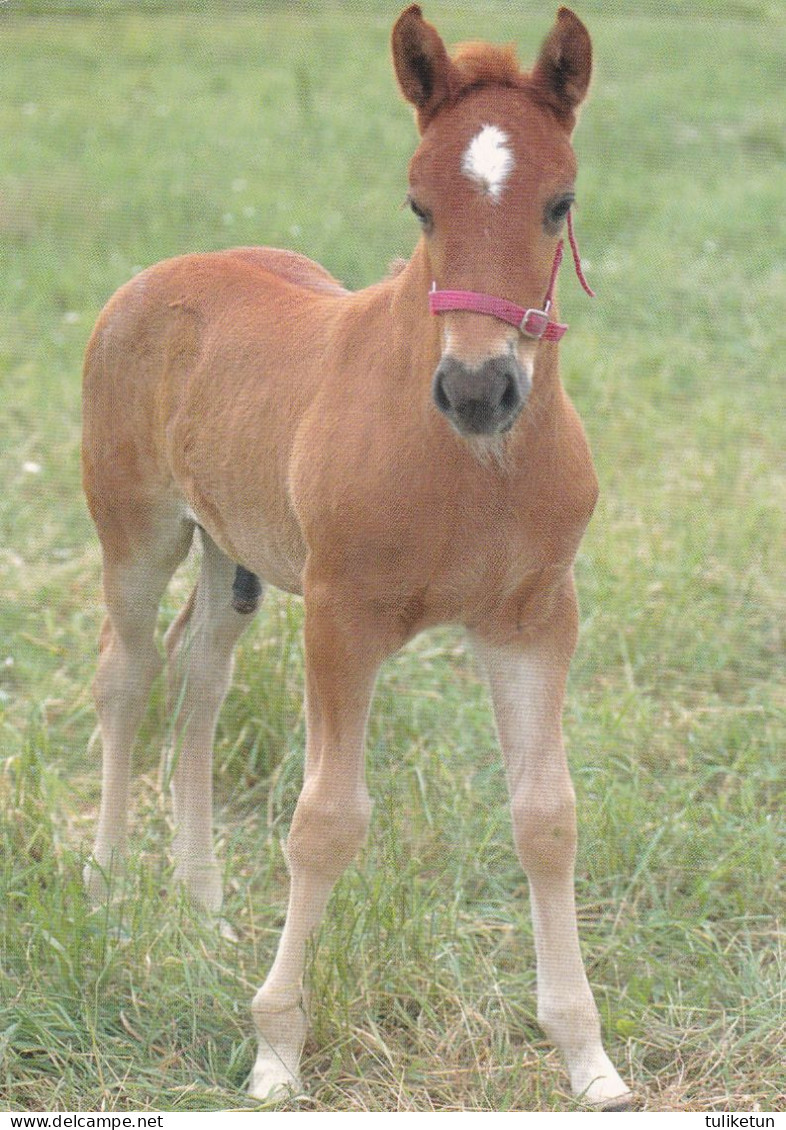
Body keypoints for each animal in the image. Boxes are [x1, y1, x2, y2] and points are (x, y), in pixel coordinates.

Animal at [81, 2, 632, 1111]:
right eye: (418, 205)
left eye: (561, 203)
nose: (478, 389)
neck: (472, 465)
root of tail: (157, 276)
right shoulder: (345, 617)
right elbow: (326, 819)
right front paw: (276, 1049)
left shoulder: (536, 619)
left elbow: (547, 816)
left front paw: (587, 1057)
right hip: (137, 533)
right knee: (128, 674)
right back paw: (112, 889)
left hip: (234, 556)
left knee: (201, 681)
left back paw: (202, 907)